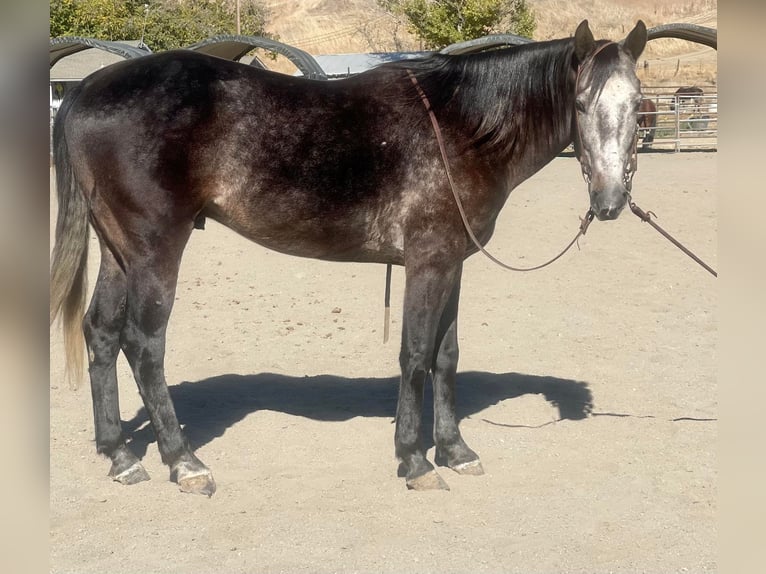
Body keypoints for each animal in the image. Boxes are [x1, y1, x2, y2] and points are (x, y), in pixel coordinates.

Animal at [48, 19, 648, 496]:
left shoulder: (453, 263)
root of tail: (86, 88)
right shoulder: (428, 262)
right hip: (155, 251)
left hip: (120, 251)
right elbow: (415, 354)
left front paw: (456, 450)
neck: (463, 127)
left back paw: (120, 455)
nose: (610, 200)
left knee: (101, 333)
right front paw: (414, 459)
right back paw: (184, 462)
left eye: (638, 104)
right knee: (143, 345)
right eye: (580, 103)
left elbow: (446, 356)